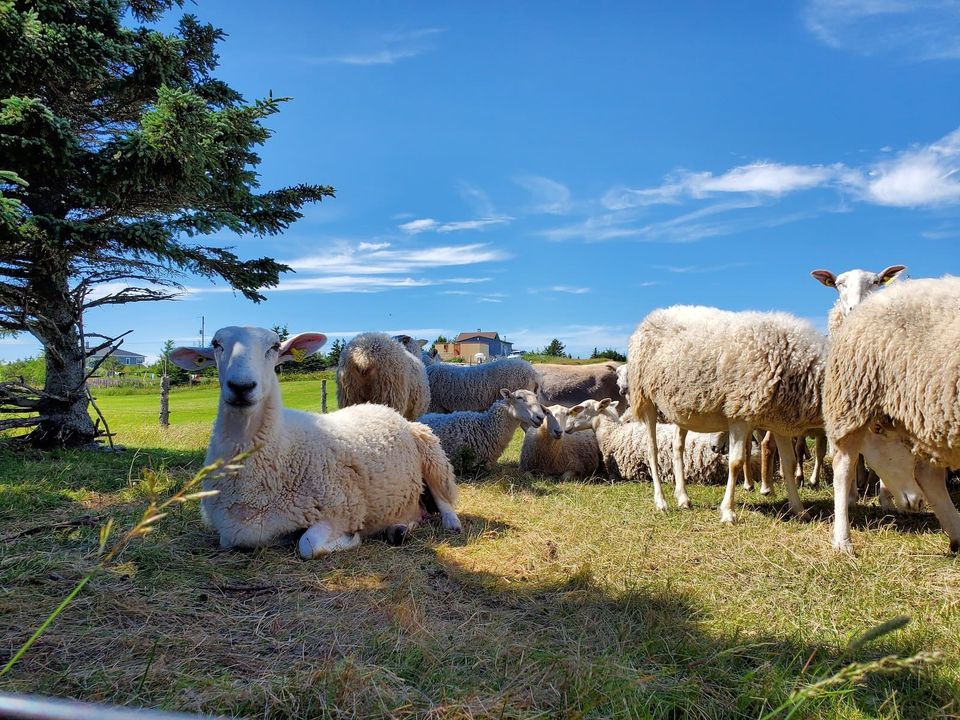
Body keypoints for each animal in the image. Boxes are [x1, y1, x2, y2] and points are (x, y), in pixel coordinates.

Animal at [170, 326, 461, 558]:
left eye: (274, 347)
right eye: (216, 344)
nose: (241, 386)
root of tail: (381, 407)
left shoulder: (344, 508)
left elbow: (308, 544)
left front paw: (351, 539)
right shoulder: (231, 531)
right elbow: (230, 540)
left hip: (430, 452)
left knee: (443, 499)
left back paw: (449, 523)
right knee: (416, 513)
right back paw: (398, 528)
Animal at [627, 306, 826, 523]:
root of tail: (653, 315)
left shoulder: (780, 421)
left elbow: (788, 463)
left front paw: (799, 509)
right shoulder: (740, 413)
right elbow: (736, 462)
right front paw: (728, 511)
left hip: (681, 408)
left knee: (677, 447)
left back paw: (683, 498)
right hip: (645, 397)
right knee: (652, 449)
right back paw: (661, 501)